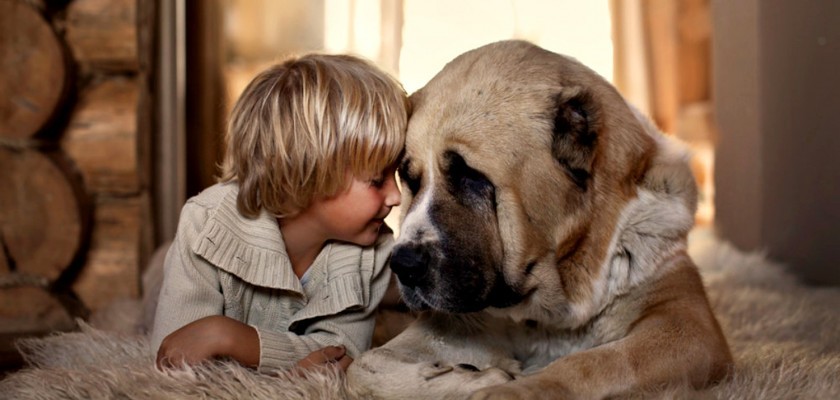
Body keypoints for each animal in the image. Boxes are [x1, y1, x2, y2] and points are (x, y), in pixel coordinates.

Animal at [344, 39, 732, 398]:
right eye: (410, 179)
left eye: (471, 177)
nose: (403, 264)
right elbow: (363, 367)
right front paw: (475, 378)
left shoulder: (686, 324)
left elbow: (599, 361)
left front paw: (514, 388)